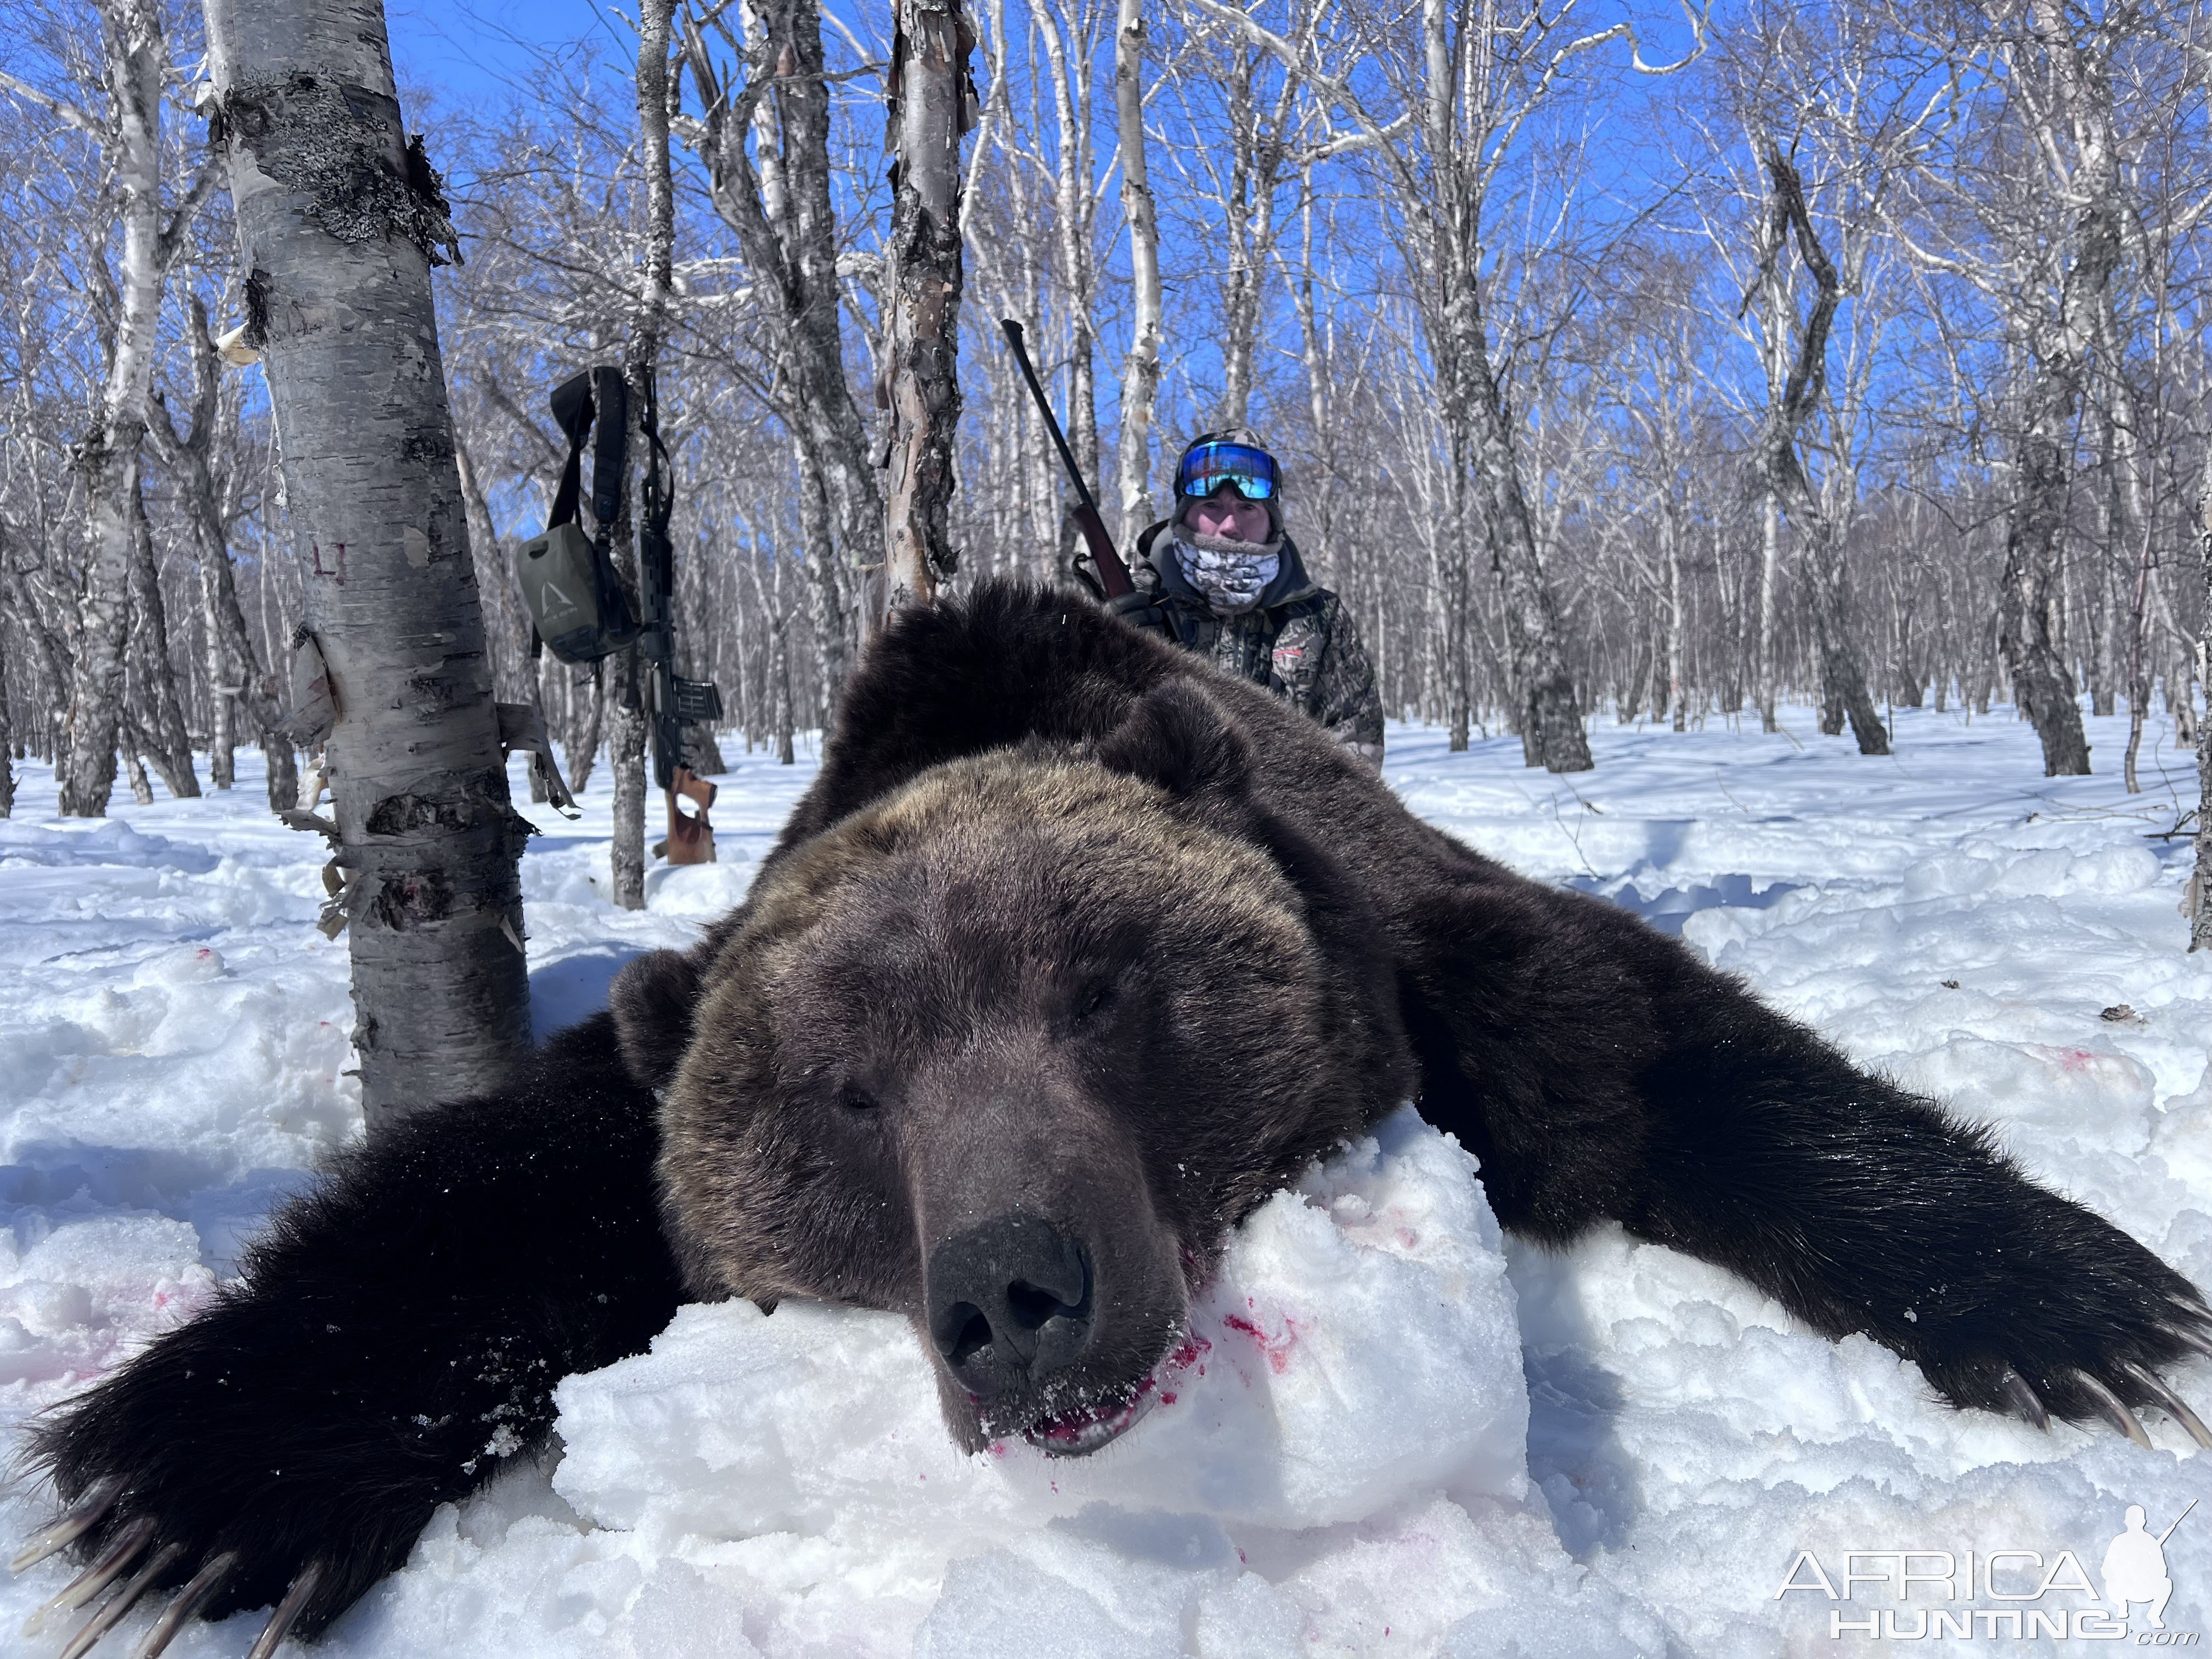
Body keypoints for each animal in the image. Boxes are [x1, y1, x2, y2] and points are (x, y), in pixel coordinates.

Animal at [21, 584, 2212, 1659]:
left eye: (1100, 989)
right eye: (846, 1095)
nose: (1017, 1292)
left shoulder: (1430, 951)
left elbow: (1668, 1051)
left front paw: (2090, 1309)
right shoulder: (680, 1027)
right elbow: (491, 1193)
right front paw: (180, 1476)